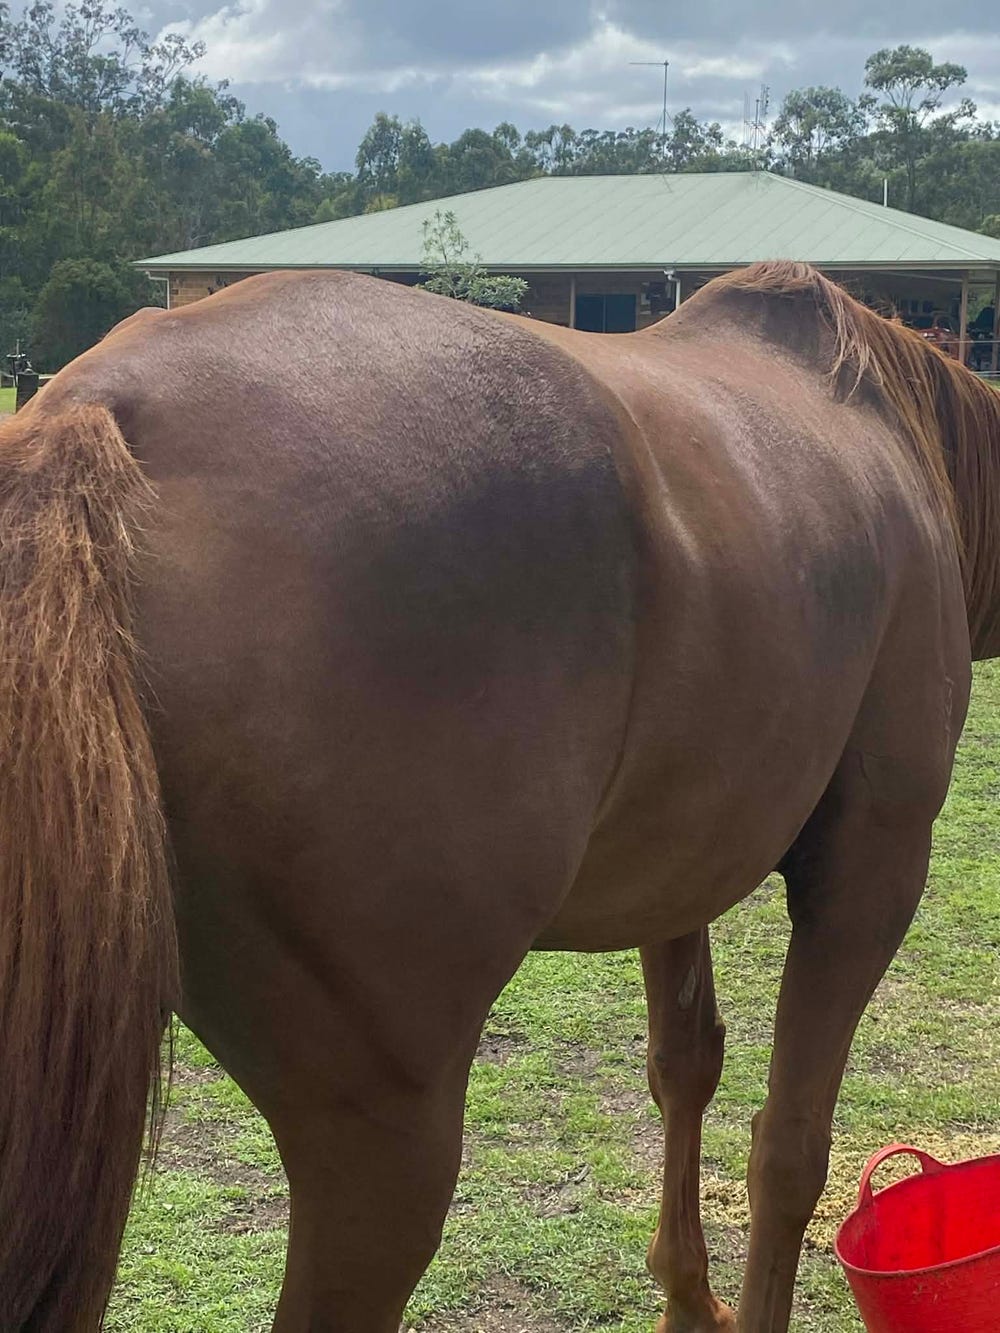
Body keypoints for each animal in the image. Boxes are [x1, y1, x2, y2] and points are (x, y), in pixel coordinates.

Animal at [0, 261, 997, 1333]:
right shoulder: (869, 868)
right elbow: (791, 1146)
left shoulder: (676, 876)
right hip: (384, 1151)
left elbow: (685, 1065)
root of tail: (100, 407)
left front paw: (690, 1300)